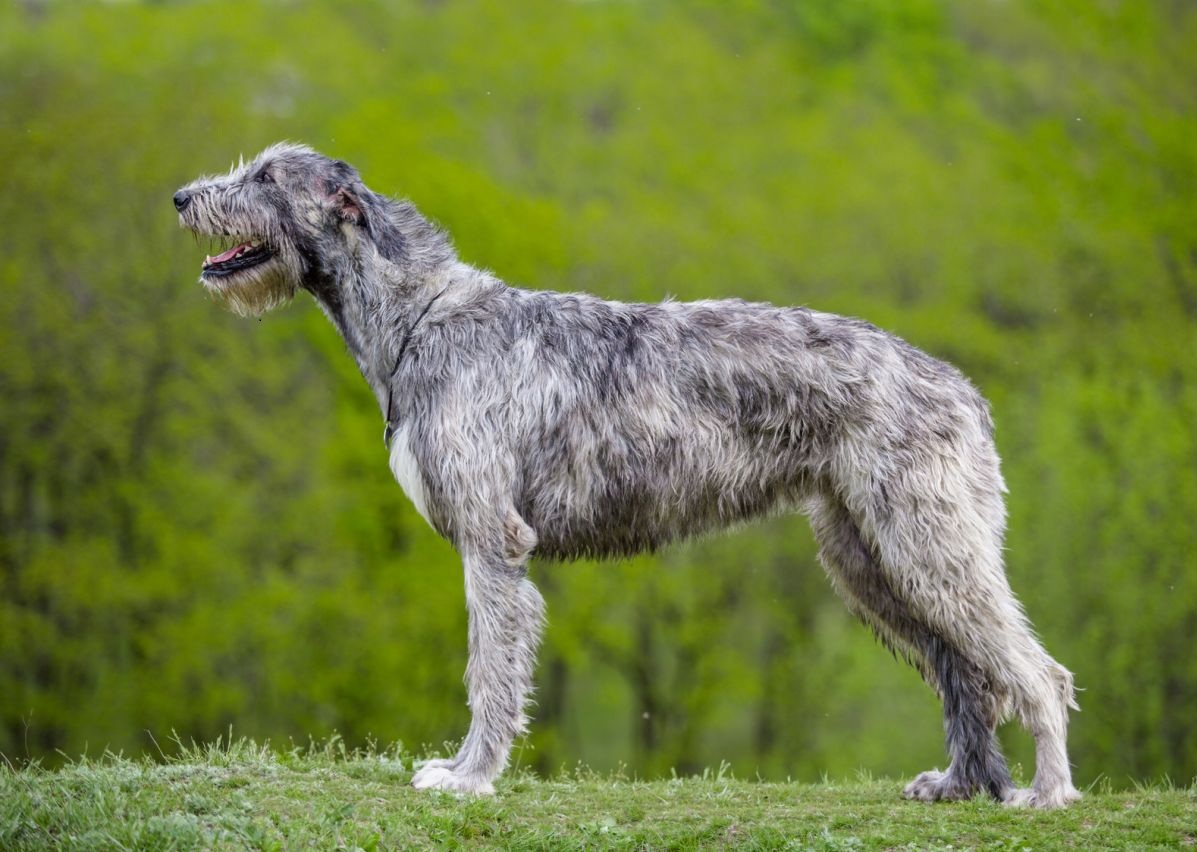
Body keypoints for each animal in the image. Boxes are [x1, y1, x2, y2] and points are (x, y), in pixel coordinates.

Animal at [177, 144, 1086, 804]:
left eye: (265, 176)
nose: (183, 197)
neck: (421, 316)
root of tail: (961, 388)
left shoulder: (492, 541)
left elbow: (489, 669)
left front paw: (467, 777)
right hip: (868, 557)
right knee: (965, 671)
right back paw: (961, 785)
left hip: (925, 541)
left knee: (1035, 672)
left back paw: (1045, 794)